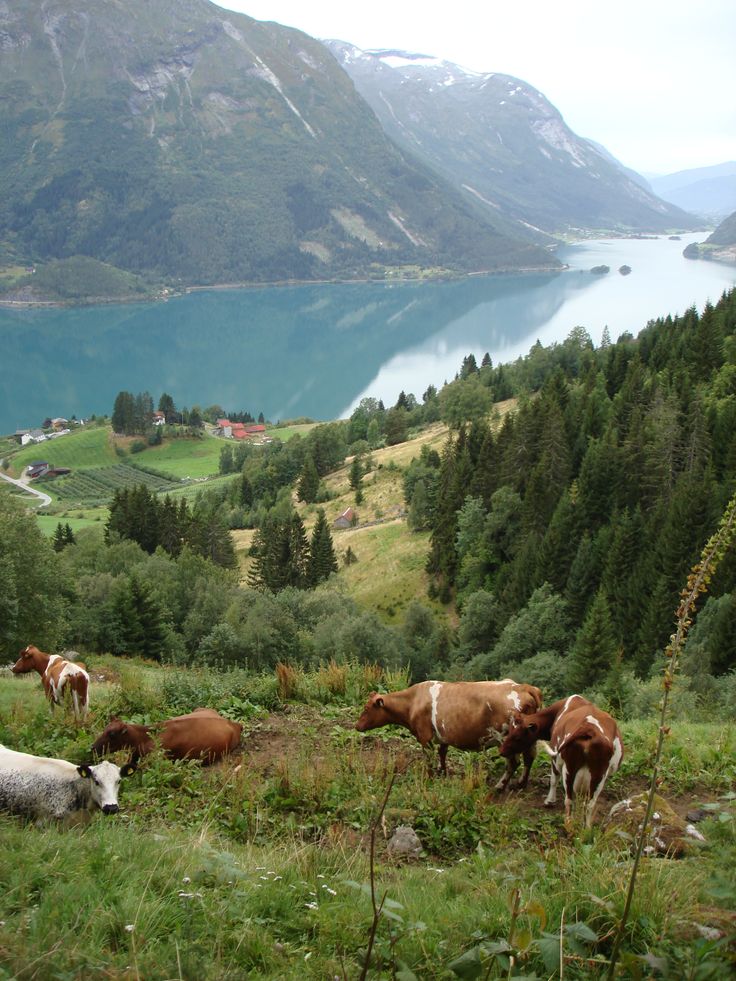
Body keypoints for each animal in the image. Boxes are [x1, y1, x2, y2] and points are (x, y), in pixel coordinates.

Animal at [354, 676, 544, 792]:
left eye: (366, 708)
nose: (356, 726)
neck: (413, 701)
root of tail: (524, 687)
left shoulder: (425, 736)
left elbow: (429, 758)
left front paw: (430, 778)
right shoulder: (443, 735)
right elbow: (442, 753)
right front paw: (443, 772)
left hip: (506, 739)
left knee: (514, 762)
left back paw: (500, 786)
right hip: (529, 738)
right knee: (529, 757)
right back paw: (521, 783)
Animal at [500, 688, 620, 828]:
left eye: (517, 737)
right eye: (509, 731)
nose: (501, 751)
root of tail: (589, 729)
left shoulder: (555, 758)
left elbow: (553, 779)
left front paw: (549, 801)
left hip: (569, 766)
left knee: (568, 798)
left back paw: (568, 823)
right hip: (599, 773)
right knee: (590, 804)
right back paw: (587, 827)